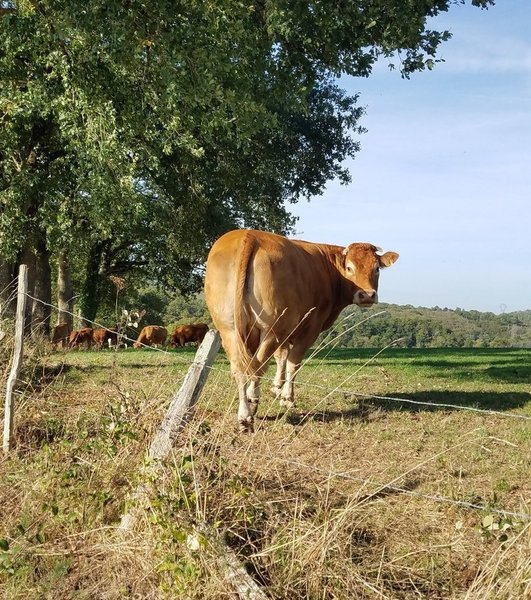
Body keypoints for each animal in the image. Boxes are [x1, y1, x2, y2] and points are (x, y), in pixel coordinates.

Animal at [205, 230, 400, 432]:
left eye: (377, 269)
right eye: (349, 267)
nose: (367, 295)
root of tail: (250, 234)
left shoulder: (285, 333)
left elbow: (281, 357)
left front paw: (277, 387)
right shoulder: (310, 327)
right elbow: (293, 362)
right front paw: (287, 397)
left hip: (229, 329)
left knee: (241, 369)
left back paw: (244, 413)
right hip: (272, 329)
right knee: (257, 366)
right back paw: (250, 407)